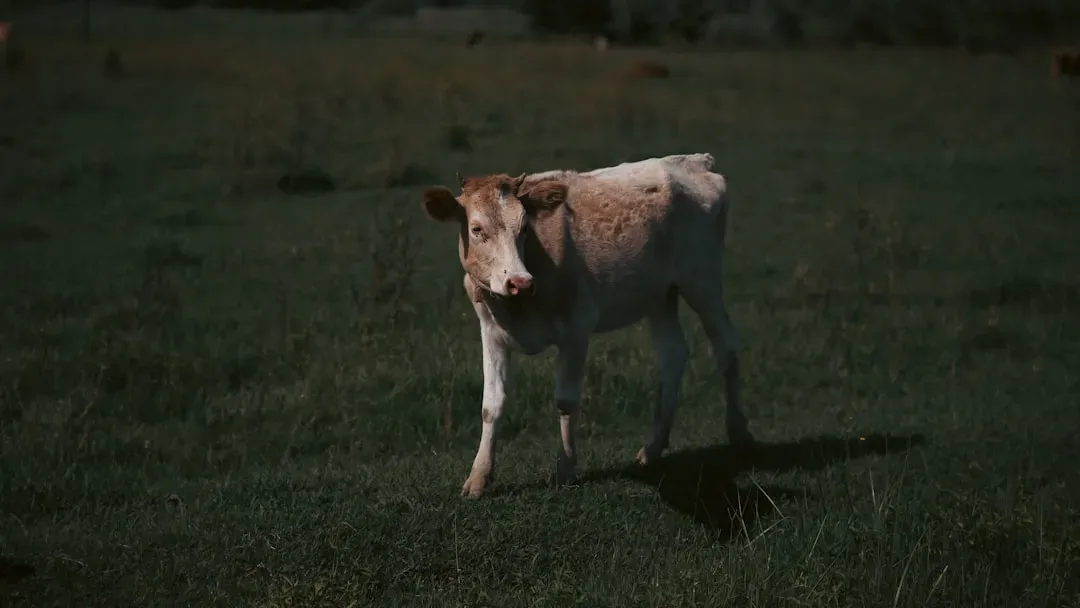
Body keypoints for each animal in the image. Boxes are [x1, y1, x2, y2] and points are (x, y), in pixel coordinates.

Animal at [420, 153, 753, 499]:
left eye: (524, 227)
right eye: (476, 228)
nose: (520, 282)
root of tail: (693, 160)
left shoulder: (577, 328)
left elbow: (566, 401)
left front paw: (565, 468)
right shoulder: (492, 334)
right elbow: (491, 405)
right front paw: (478, 477)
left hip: (702, 280)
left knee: (726, 345)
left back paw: (739, 432)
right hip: (660, 294)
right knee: (672, 355)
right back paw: (652, 448)